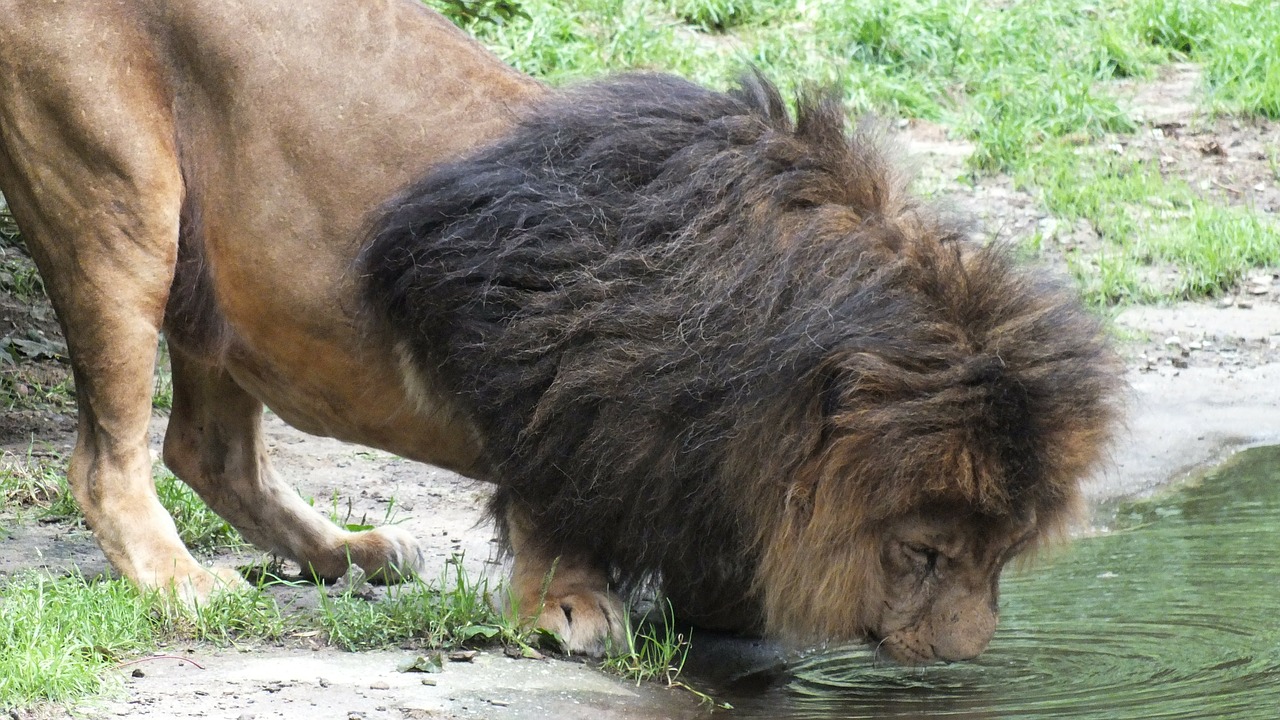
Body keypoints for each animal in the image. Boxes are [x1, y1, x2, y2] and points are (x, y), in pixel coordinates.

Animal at [0, 0, 1121, 661]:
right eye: (926, 553)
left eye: (1001, 557)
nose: (967, 659)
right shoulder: (524, 338)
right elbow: (547, 489)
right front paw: (568, 609)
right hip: (120, 201)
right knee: (107, 462)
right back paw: (188, 588)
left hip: (214, 277)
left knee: (208, 448)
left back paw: (346, 552)